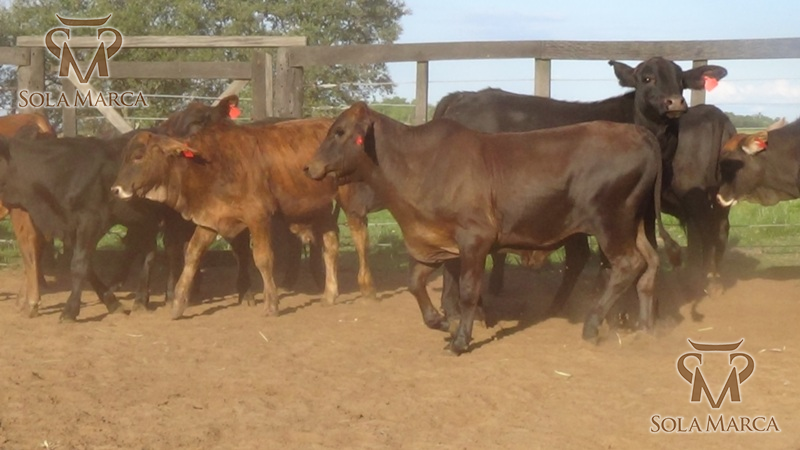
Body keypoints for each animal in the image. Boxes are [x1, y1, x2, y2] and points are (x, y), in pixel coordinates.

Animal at [110, 116, 344, 319]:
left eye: (138, 156)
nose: (115, 189)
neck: (211, 165)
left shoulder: (258, 217)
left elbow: (263, 259)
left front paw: (271, 304)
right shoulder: (210, 219)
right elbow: (192, 255)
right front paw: (178, 304)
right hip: (322, 209)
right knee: (331, 246)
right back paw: (329, 295)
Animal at [305, 102, 679, 354]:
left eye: (340, 132)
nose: (309, 167)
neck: (421, 164)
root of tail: (638, 132)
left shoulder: (475, 240)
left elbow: (469, 291)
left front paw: (459, 340)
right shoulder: (438, 242)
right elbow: (416, 283)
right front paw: (440, 321)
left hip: (611, 223)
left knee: (627, 265)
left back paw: (591, 325)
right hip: (635, 223)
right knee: (649, 264)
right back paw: (646, 329)